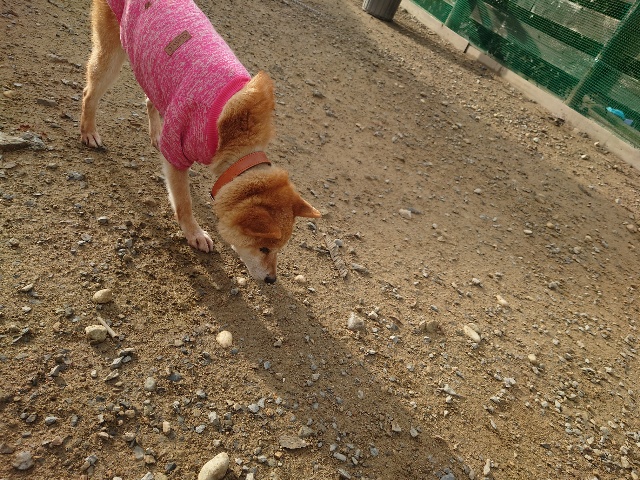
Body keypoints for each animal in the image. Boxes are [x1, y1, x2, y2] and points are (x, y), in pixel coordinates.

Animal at [80, 0, 320, 283]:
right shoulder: (178, 153)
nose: (272, 280)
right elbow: (183, 202)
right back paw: (88, 131)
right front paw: (194, 233)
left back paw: (156, 135)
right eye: (263, 248)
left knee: (151, 99)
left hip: (155, 74)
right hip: (112, 56)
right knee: (89, 92)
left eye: (279, 249)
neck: (236, 138)